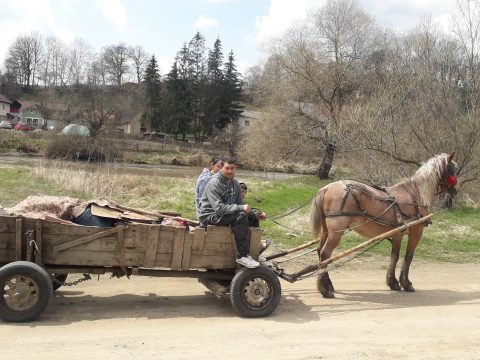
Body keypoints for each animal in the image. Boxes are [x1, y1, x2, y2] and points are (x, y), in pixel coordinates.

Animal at [312, 153, 458, 296]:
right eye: (452, 170)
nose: (455, 191)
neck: (416, 194)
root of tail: (327, 188)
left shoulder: (398, 234)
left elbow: (395, 256)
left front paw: (393, 282)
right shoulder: (416, 232)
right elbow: (408, 257)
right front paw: (406, 283)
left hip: (326, 231)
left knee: (320, 252)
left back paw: (324, 285)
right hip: (336, 232)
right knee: (325, 254)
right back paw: (326, 289)